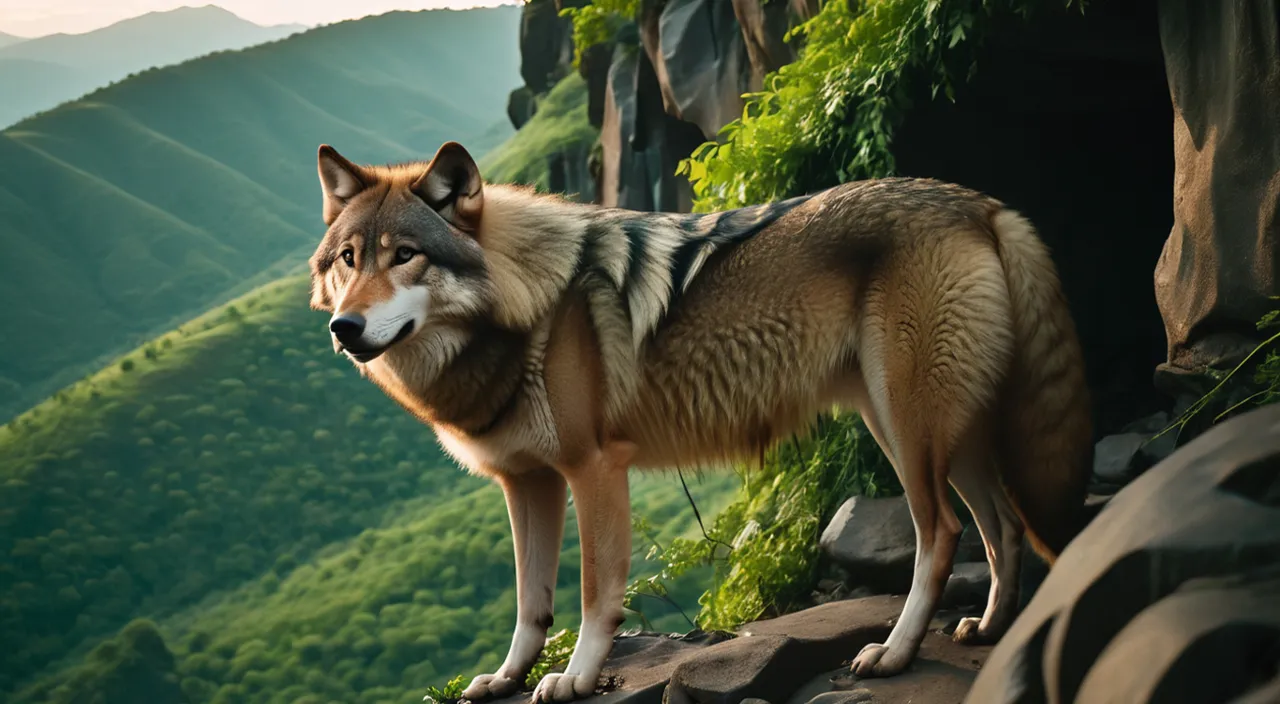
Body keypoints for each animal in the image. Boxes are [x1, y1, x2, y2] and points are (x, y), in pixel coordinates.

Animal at [307, 140, 1090, 701]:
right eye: (348, 260)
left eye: (405, 256)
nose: (346, 329)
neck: (526, 305)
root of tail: (979, 202)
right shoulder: (527, 483)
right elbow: (532, 605)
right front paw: (505, 679)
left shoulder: (594, 469)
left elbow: (594, 595)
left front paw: (574, 679)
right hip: (938, 433)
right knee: (1003, 527)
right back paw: (988, 628)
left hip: (907, 430)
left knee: (945, 533)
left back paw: (894, 655)